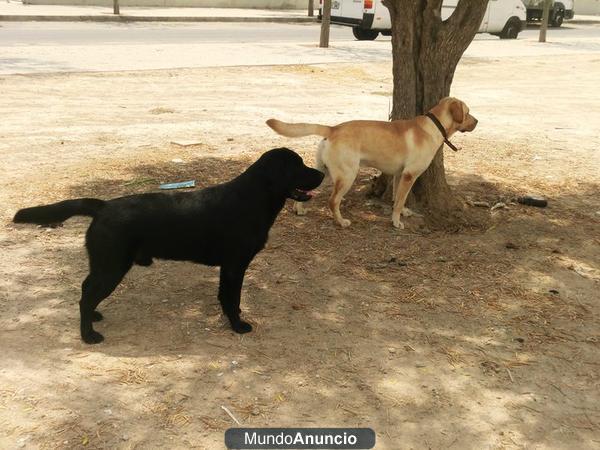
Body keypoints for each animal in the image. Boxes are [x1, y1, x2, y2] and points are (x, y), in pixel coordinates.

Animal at [14, 148, 324, 344]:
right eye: (298, 166)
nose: (322, 174)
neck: (253, 198)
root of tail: (103, 206)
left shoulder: (228, 267)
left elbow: (224, 296)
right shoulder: (235, 265)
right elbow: (233, 300)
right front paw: (238, 326)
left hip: (103, 264)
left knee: (85, 289)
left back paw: (95, 316)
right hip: (112, 266)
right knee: (86, 296)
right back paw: (88, 335)